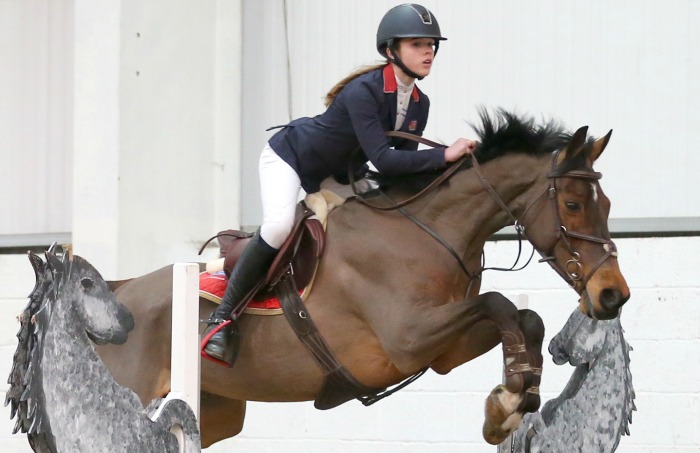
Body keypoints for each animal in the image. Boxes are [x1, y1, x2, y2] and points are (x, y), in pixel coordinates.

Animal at [94, 108, 628, 444]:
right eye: (573, 204)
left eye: (606, 204)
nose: (613, 296)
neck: (428, 231)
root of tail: (119, 292)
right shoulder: (406, 339)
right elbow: (497, 303)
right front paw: (508, 400)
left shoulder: (442, 351)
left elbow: (524, 317)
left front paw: (511, 403)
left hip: (218, 409)